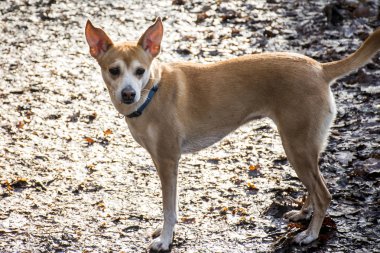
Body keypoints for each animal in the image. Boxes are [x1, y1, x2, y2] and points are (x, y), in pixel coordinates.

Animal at [86, 17, 380, 251]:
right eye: (114, 70)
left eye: (140, 71)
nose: (128, 94)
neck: (152, 91)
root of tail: (320, 69)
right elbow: (172, 206)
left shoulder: (168, 162)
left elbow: (169, 207)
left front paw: (166, 240)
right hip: (304, 149)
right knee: (314, 188)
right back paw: (303, 214)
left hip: (296, 147)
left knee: (324, 194)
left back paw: (310, 235)